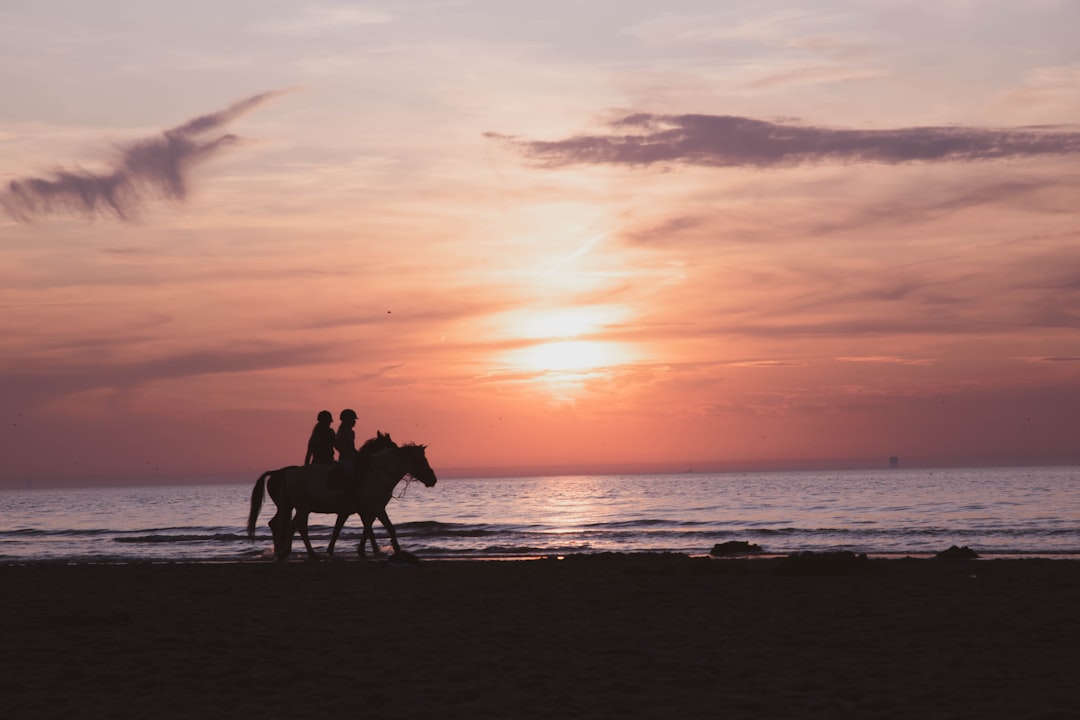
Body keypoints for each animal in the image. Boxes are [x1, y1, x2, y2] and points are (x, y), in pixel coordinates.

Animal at [247, 431, 436, 561]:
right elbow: (381, 528)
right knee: (295, 527)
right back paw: (290, 553)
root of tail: (286, 473)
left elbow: (361, 528)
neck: (376, 473)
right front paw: (388, 551)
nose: (433, 480)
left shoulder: (364, 509)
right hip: (302, 507)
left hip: (298, 508)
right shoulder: (374, 507)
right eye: (421, 461)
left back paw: (297, 552)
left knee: (289, 526)